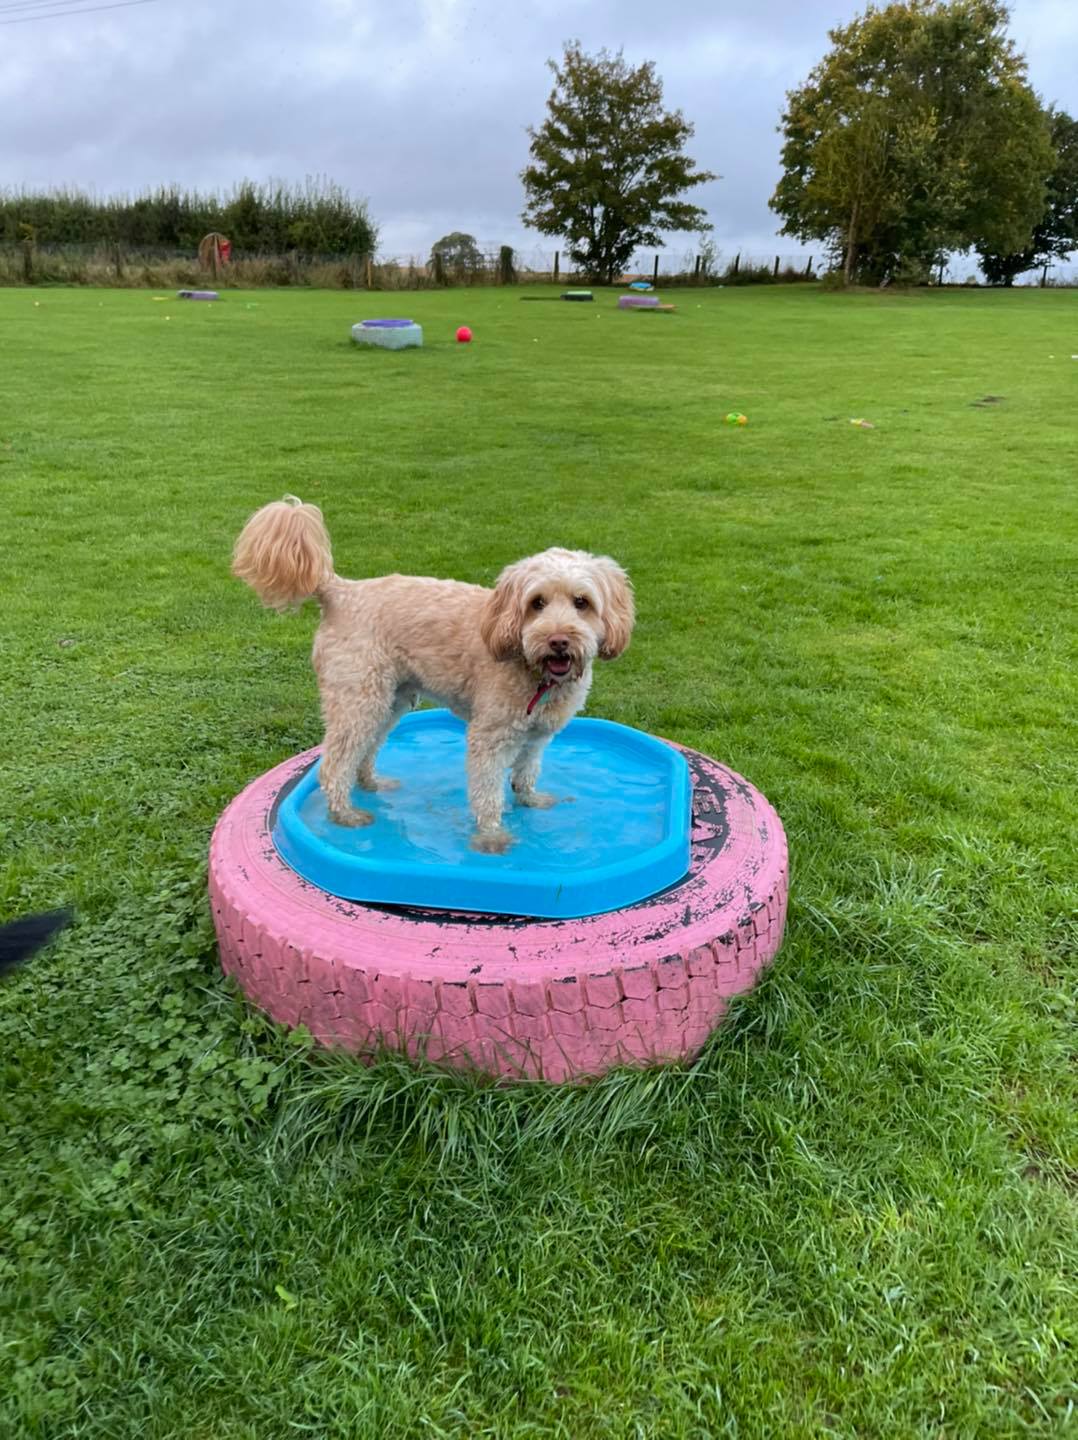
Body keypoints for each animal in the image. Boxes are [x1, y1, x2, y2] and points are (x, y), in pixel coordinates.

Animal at [231, 498, 627, 846]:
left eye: (581, 602)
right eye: (537, 603)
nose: (558, 640)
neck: (533, 669)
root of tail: (342, 591)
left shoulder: (536, 736)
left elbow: (526, 772)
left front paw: (530, 800)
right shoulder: (489, 737)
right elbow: (488, 792)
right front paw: (492, 838)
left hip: (390, 700)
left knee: (365, 750)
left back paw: (372, 784)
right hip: (358, 698)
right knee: (334, 763)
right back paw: (345, 814)